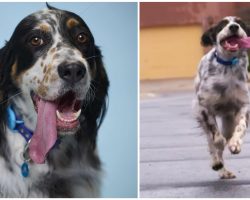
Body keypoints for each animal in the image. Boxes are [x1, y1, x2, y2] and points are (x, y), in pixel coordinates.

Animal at [193, 16, 250, 179]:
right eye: (223, 24)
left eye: (240, 23)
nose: (234, 27)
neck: (228, 66)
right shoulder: (204, 107)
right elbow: (216, 137)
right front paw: (218, 155)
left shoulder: (243, 104)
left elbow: (241, 126)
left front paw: (235, 144)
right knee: (211, 142)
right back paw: (218, 163)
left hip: (228, 120)